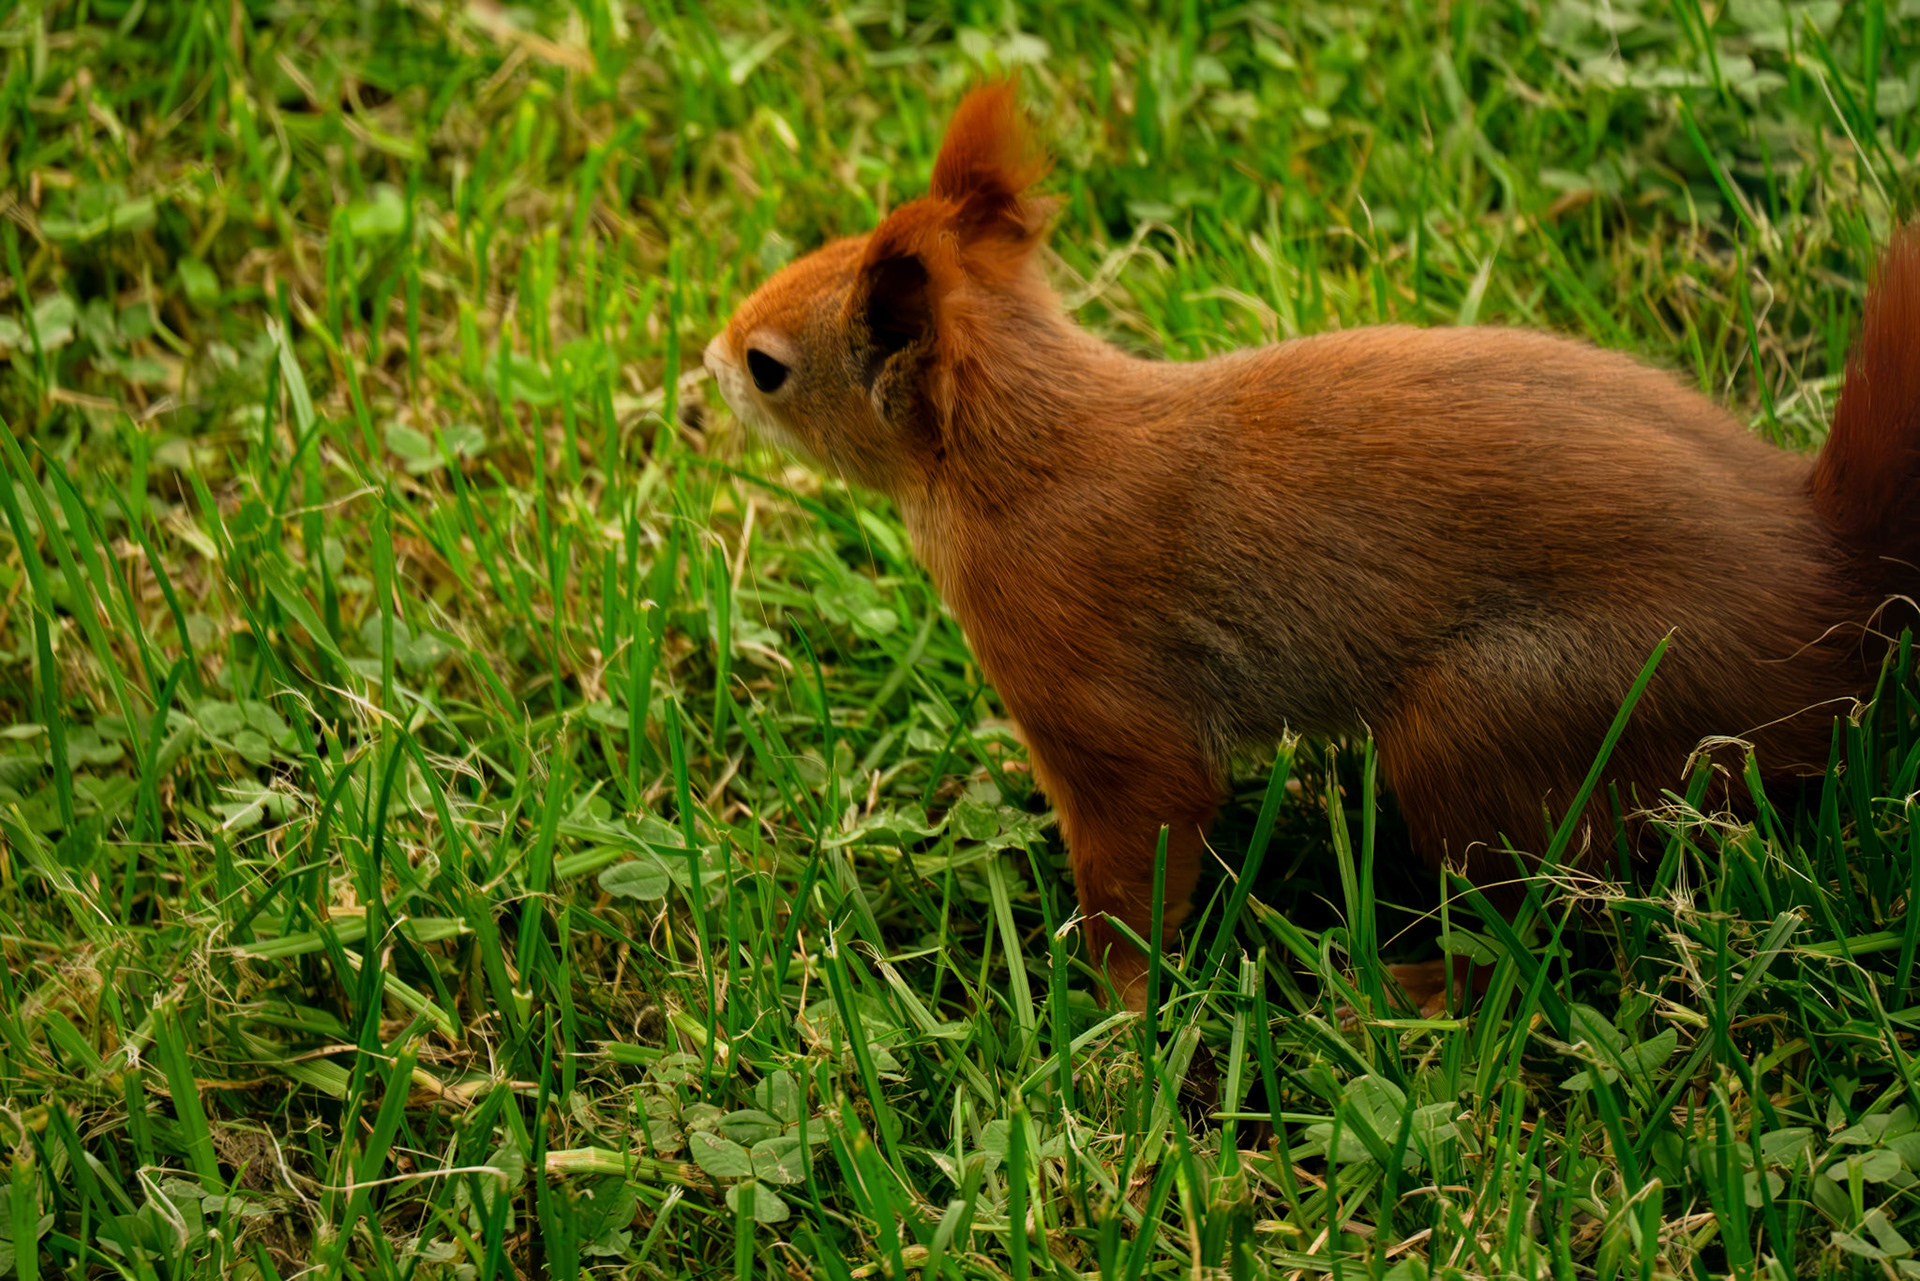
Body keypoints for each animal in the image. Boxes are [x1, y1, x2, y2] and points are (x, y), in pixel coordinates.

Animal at [704, 82, 1920, 1013]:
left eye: (772, 367)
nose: (710, 358)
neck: (1026, 449)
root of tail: (1827, 584)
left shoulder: (1088, 674)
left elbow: (1144, 839)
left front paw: (1109, 1014)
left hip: (1511, 711)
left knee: (1537, 924)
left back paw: (1414, 990)